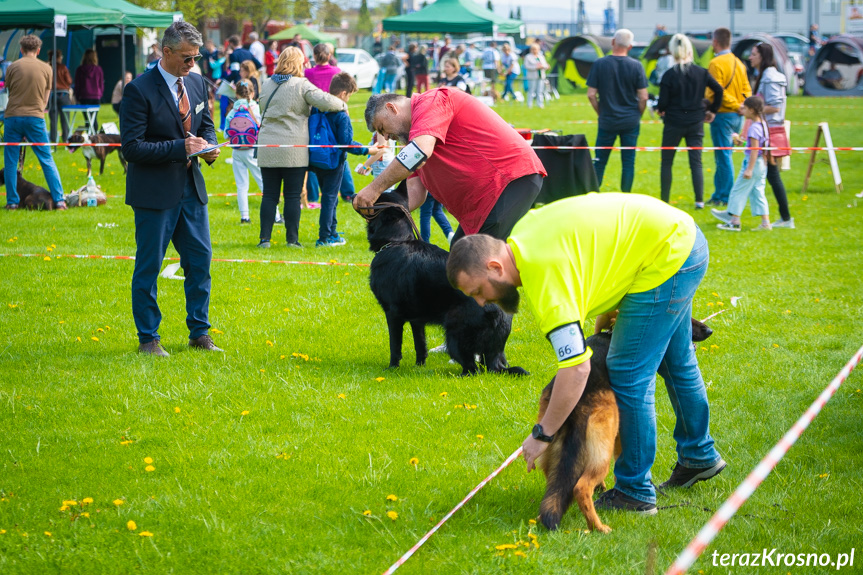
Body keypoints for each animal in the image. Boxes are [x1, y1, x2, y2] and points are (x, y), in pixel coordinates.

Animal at [362, 181, 528, 378]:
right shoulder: (417, 320)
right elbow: (420, 344)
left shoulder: (393, 314)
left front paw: (392, 368)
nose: (356, 195)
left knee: (473, 369)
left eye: (376, 201)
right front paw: (419, 365)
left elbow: (395, 346)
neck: (396, 241)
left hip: (454, 336)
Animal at [540, 318, 716, 532]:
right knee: (581, 488)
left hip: (553, 453)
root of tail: (578, 403)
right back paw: (598, 527)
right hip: (602, 454)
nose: (709, 330)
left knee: (556, 489)